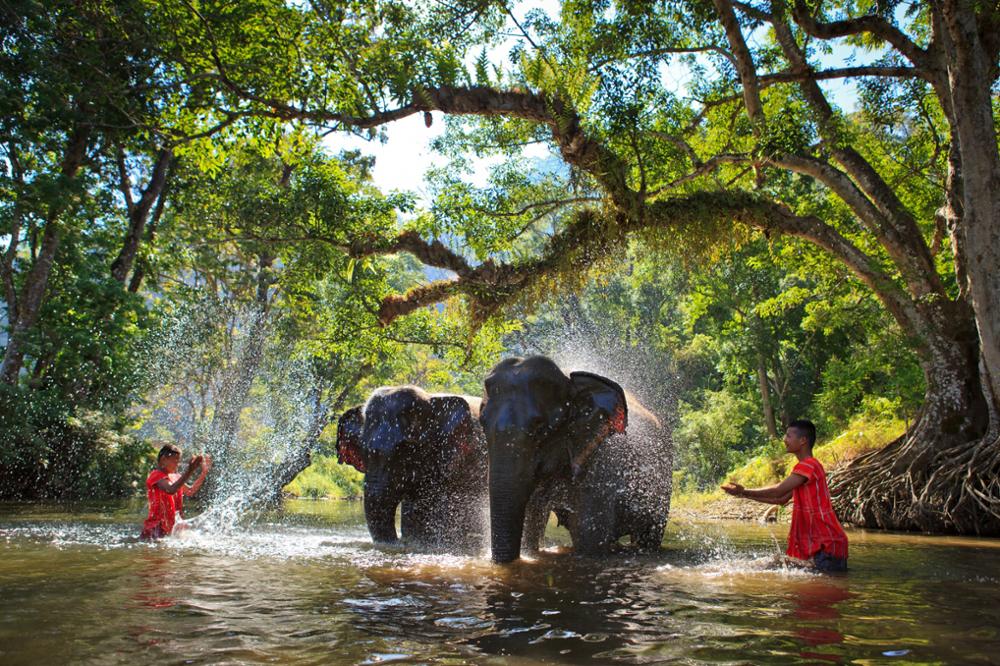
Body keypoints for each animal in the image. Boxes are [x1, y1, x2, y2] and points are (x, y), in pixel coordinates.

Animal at [482, 352, 672, 560]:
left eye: (540, 428)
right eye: (482, 424)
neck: (570, 381)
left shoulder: (600, 464)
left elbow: (589, 539)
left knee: (650, 536)